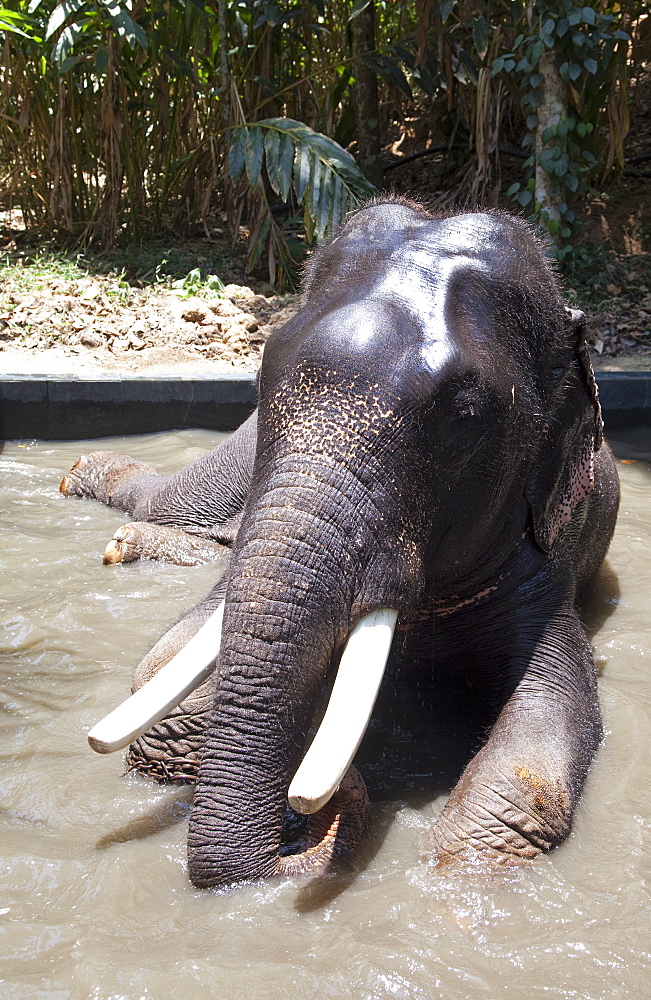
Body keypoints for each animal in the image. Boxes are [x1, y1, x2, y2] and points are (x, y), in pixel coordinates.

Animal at [61, 197, 620, 892]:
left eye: (464, 418)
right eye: (263, 373)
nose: (307, 813)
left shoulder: (539, 564)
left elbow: (545, 731)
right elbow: (164, 666)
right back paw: (90, 490)